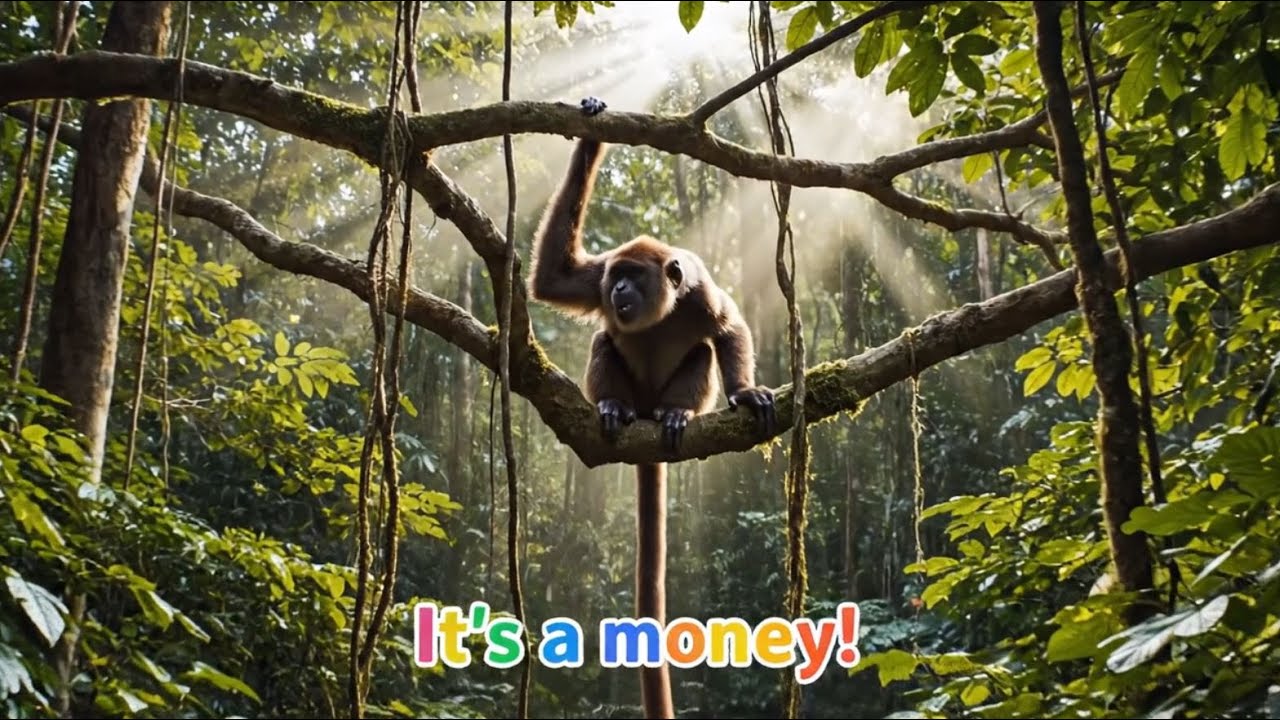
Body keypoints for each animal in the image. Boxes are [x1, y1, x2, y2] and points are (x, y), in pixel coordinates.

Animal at [528, 97, 776, 719]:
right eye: (617, 277)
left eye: (634, 278)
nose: (619, 294)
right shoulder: (594, 278)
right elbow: (553, 280)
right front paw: (591, 129)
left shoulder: (701, 288)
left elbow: (727, 330)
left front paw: (744, 392)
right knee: (603, 341)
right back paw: (616, 407)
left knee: (702, 351)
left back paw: (674, 416)